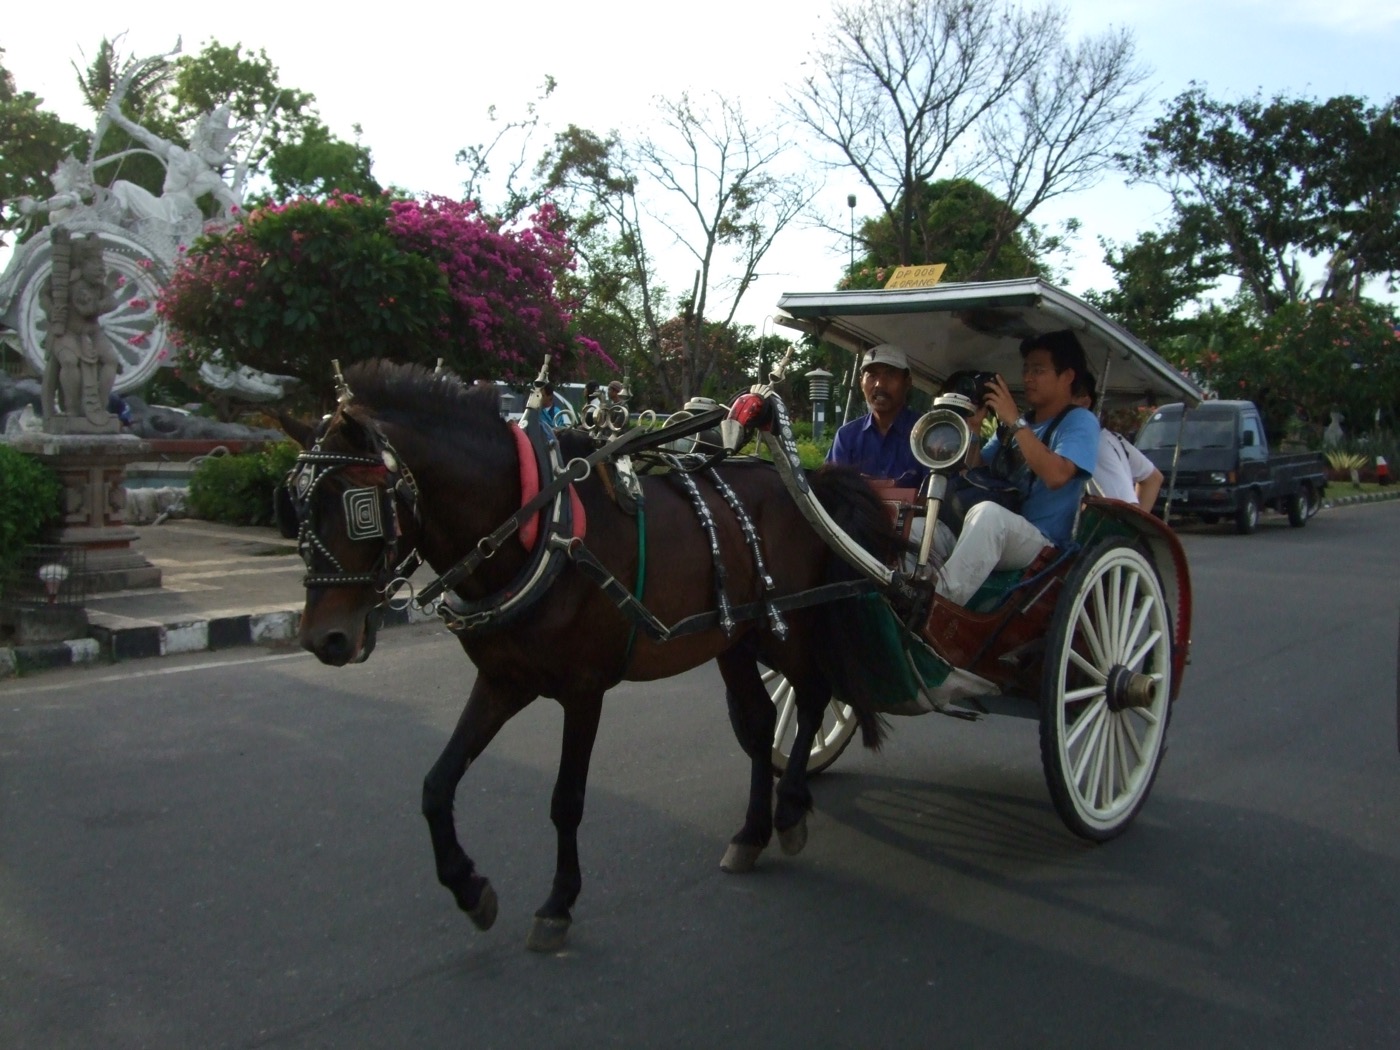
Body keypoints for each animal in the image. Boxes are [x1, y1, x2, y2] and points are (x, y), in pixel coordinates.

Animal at [287, 361, 896, 952]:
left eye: (359, 507)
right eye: (294, 502)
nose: (323, 638)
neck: (538, 525)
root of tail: (808, 479)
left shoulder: (583, 690)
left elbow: (567, 800)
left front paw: (558, 903)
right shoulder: (503, 680)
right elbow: (437, 784)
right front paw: (468, 887)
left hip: (785, 626)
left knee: (813, 694)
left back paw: (789, 809)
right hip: (735, 640)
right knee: (762, 721)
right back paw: (751, 833)